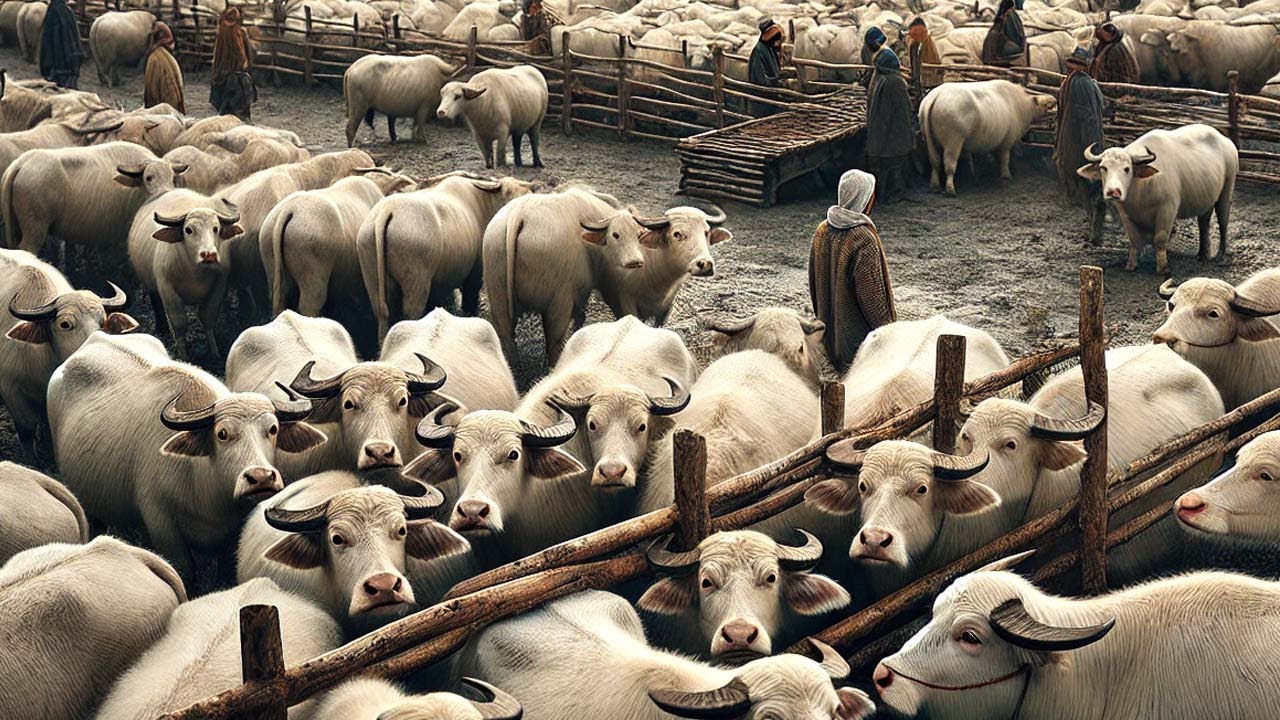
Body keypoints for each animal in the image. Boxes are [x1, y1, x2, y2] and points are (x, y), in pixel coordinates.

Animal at [47, 332, 328, 577]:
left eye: (273, 429)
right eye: (222, 433)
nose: (260, 478)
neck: (203, 482)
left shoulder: (230, 539)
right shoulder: (165, 530)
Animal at [126, 189, 243, 360]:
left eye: (216, 228)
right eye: (188, 230)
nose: (209, 254)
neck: (196, 273)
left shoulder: (219, 287)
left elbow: (208, 317)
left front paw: (214, 352)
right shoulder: (167, 290)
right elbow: (179, 323)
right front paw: (183, 355)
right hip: (150, 284)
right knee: (156, 303)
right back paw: (162, 328)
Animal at [356, 174, 533, 340]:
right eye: (508, 192)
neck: (483, 202)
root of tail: (386, 212)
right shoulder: (474, 273)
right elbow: (469, 301)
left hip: (374, 279)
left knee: (383, 313)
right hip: (416, 281)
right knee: (410, 313)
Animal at [919, 80, 1056, 194]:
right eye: (1047, 106)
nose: (1053, 99)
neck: (1022, 105)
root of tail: (935, 96)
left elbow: (972, 159)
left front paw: (974, 175)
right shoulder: (1006, 141)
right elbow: (1004, 158)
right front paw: (1006, 175)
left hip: (929, 139)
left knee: (934, 161)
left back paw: (935, 185)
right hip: (953, 140)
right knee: (949, 163)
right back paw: (950, 189)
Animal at [1077, 124, 1237, 275]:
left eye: (1127, 168)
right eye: (1103, 168)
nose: (1113, 191)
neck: (1139, 189)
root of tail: (1227, 141)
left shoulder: (1168, 209)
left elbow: (1160, 238)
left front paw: (1163, 268)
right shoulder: (1125, 214)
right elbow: (1134, 239)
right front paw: (1131, 265)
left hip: (1227, 189)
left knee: (1223, 221)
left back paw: (1220, 254)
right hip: (1206, 200)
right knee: (1203, 223)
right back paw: (1202, 254)